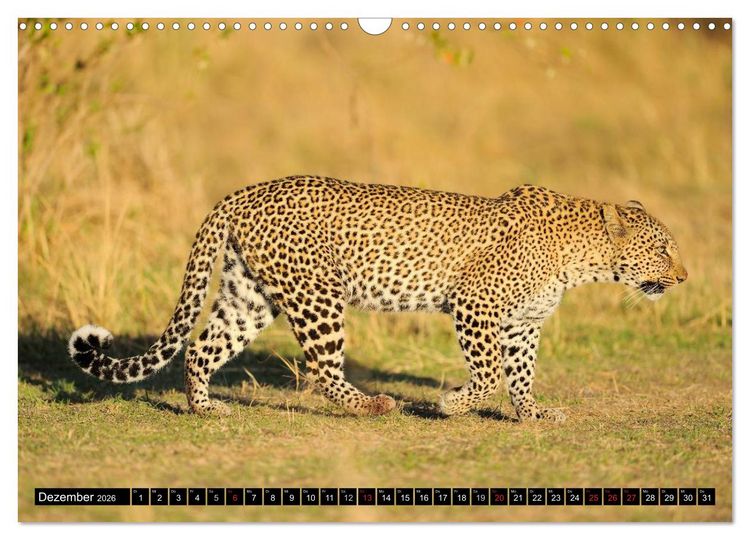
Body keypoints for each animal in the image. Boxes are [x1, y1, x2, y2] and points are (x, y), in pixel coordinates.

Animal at [68, 176, 688, 422]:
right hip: (317, 295)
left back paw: (204, 408)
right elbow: (489, 374)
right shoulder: (475, 305)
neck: (584, 260)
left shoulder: (523, 324)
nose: (683, 278)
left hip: (251, 294)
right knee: (323, 370)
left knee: (201, 348)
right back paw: (373, 405)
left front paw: (534, 414)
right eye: (664, 248)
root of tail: (243, 192)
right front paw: (450, 405)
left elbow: (520, 374)